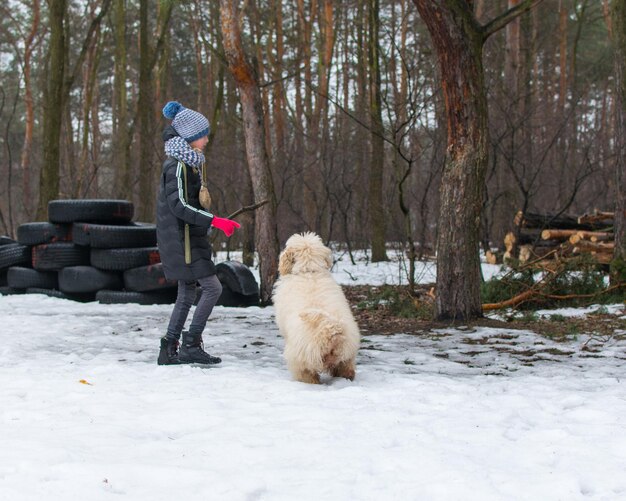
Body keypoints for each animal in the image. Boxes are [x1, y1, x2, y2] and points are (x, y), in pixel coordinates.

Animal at [270, 231, 358, 382]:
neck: (308, 271)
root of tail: (329, 330)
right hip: (346, 355)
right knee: (346, 368)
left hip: (301, 359)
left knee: (307, 374)